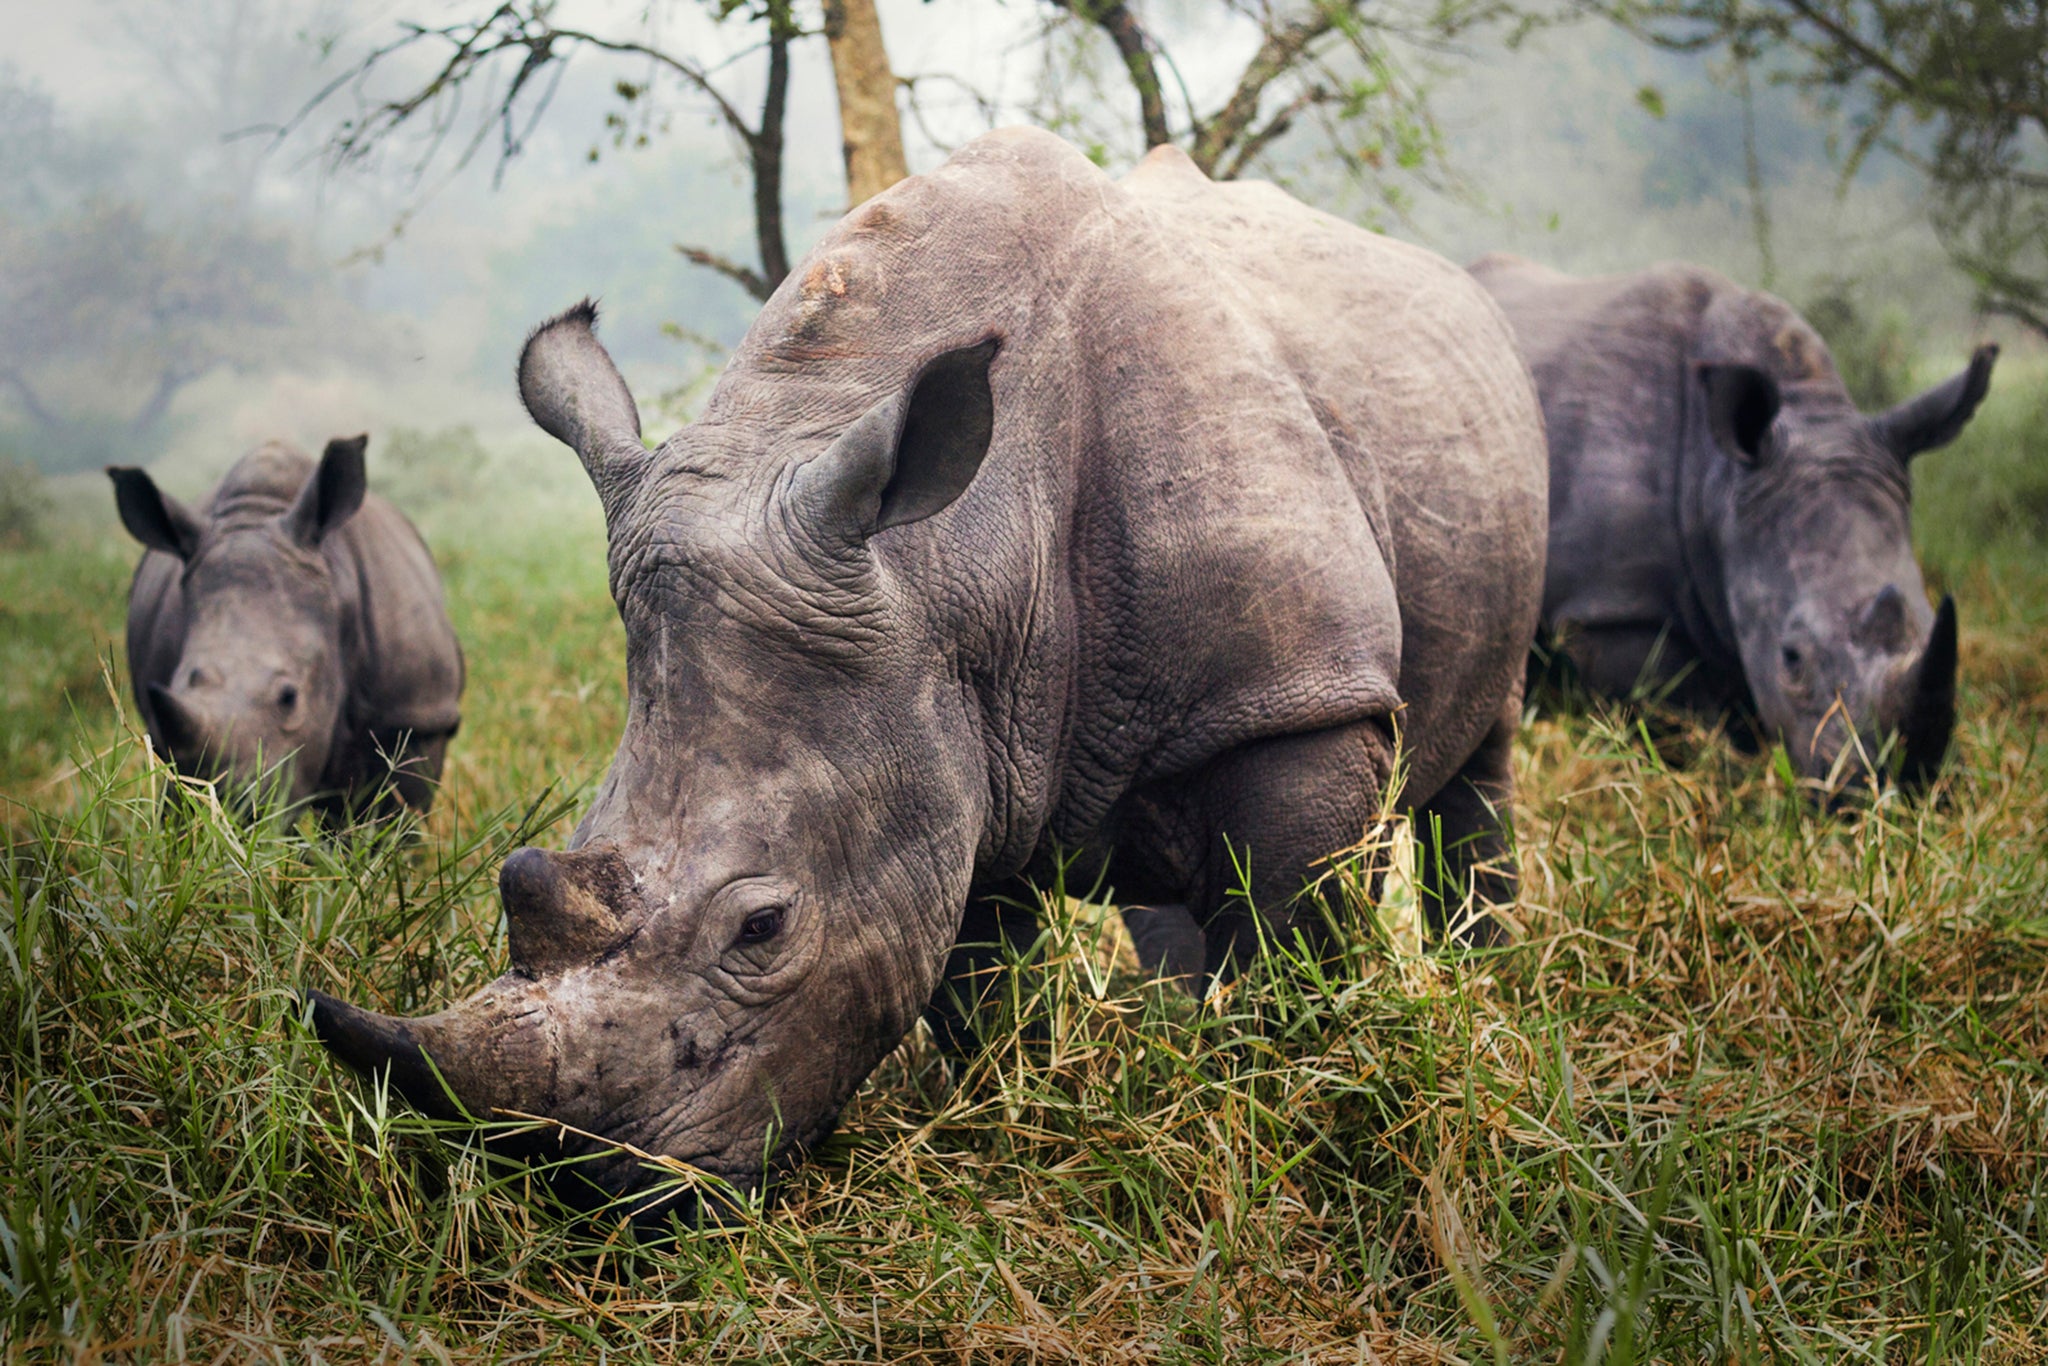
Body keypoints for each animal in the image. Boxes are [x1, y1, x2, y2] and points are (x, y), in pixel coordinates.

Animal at [311, 131, 1540, 1220]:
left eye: (762, 929)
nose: (595, 1192)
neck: (954, 559)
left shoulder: (1292, 698)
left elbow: (1286, 939)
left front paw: (1273, 1116)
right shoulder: (952, 731)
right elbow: (972, 983)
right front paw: (1016, 1115)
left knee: (1473, 759)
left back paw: (1483, 984)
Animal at [1474, 253, 1982, 790]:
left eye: (1928, 619)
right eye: (1791, 658)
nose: (1904, 785)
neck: (1720, 482)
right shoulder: (1610, 607)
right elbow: (1677, 706)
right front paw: (1718, 768)